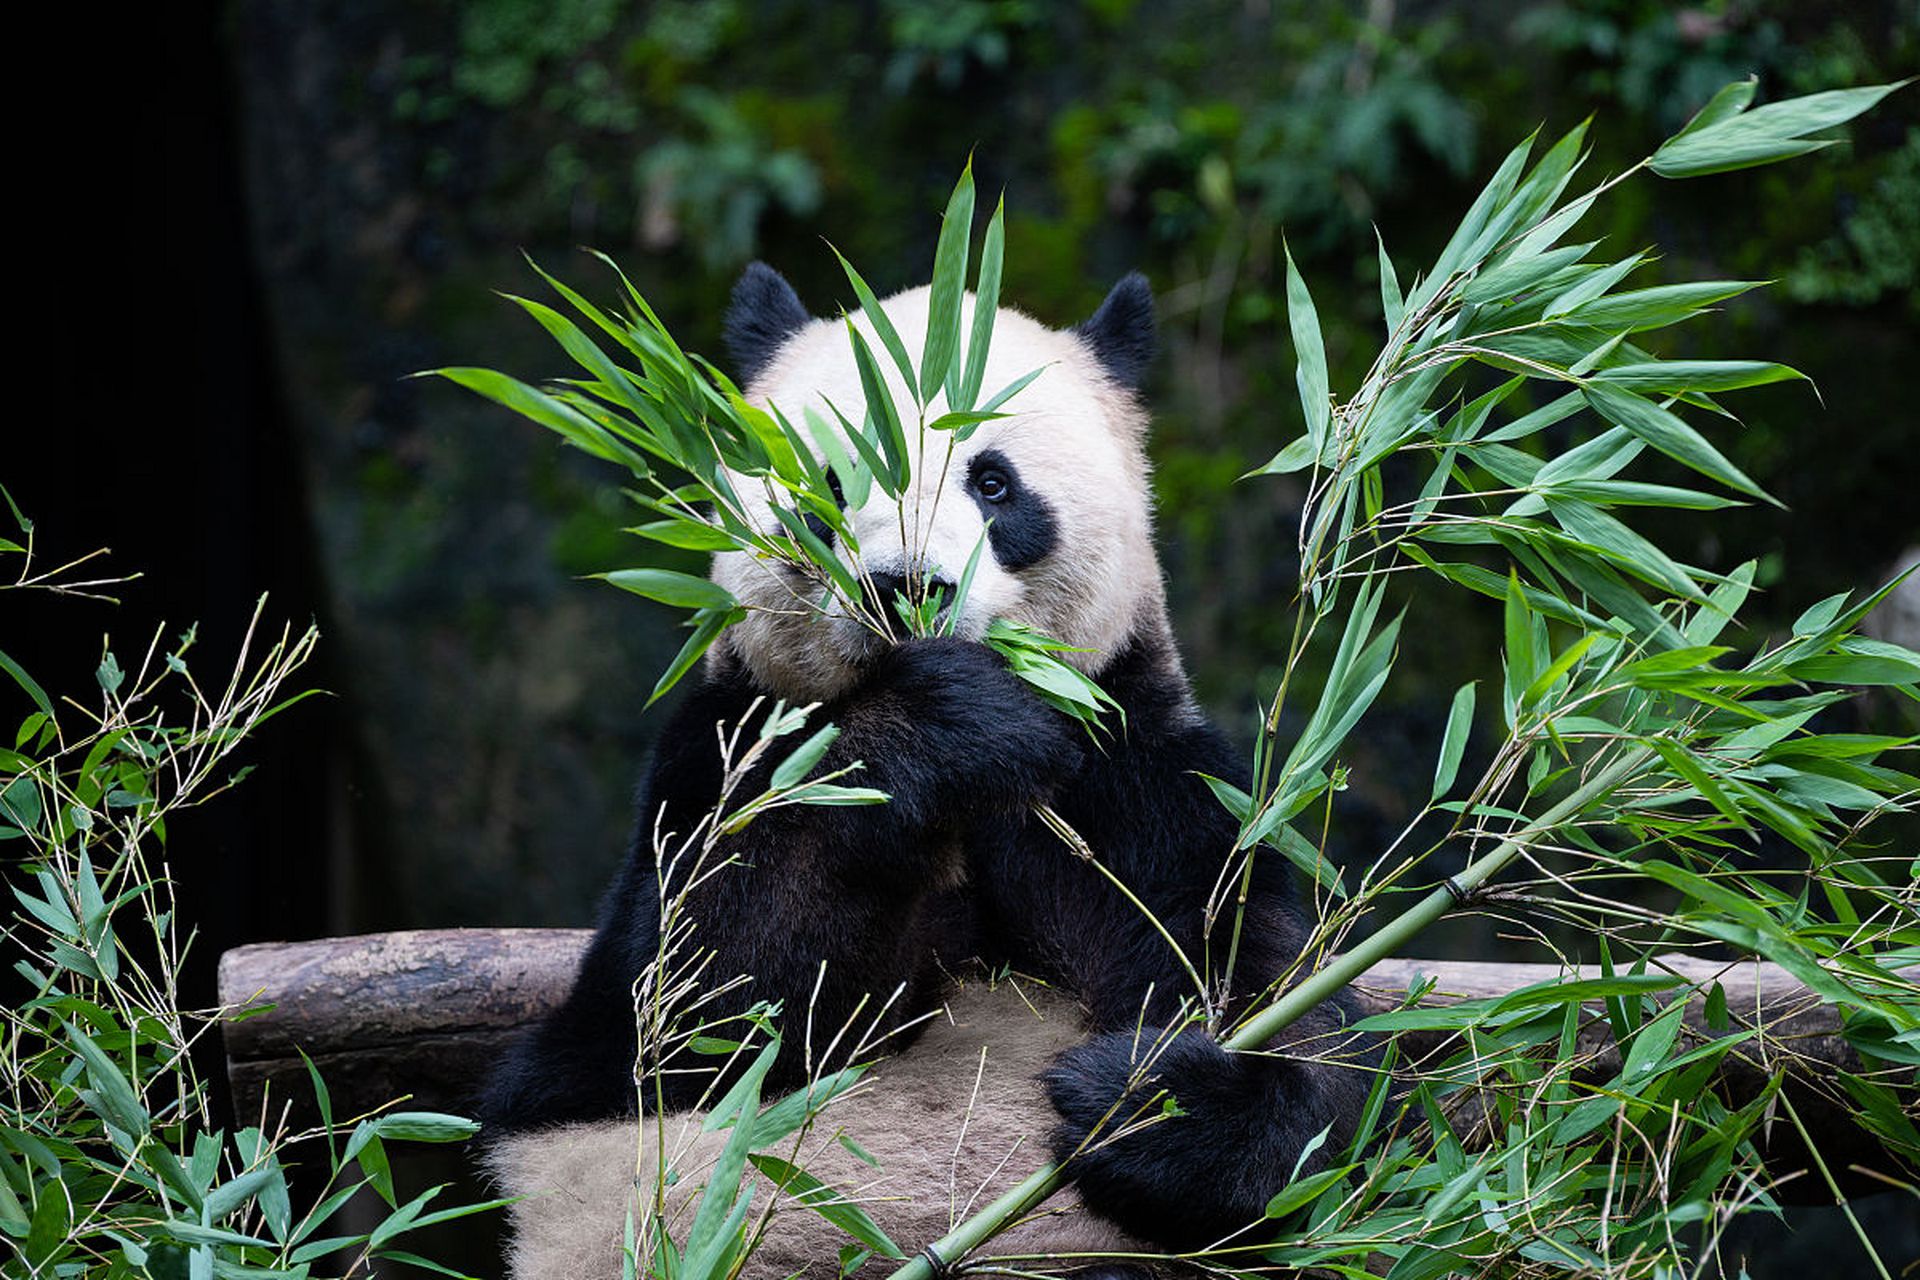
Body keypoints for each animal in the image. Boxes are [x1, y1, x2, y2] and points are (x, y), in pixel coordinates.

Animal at [480, 264, 1382, 1274]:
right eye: (828, 485)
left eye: (993, 483)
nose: (908, 588)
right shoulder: (720, 752)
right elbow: (699, 1007)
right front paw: (944, 723)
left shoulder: (1129, 773)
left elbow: (1261, 984)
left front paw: (1156, 1103)